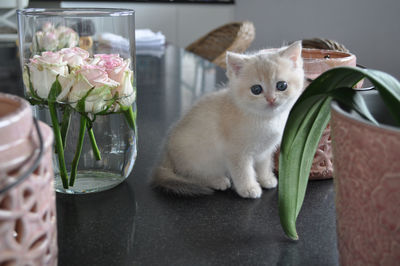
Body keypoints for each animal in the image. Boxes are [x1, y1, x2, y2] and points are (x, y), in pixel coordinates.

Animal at [150, 41, 304, 197]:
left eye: (282, 85)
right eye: (256, 90)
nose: (271, 99)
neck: (266, 119)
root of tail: (166, 155)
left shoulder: (265, 152)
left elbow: (264, 165)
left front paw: (266, 178)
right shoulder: (236, 153)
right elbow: (243, 172)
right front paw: (248, 188)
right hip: (199, 158)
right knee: (191, 175)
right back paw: (217, 180)